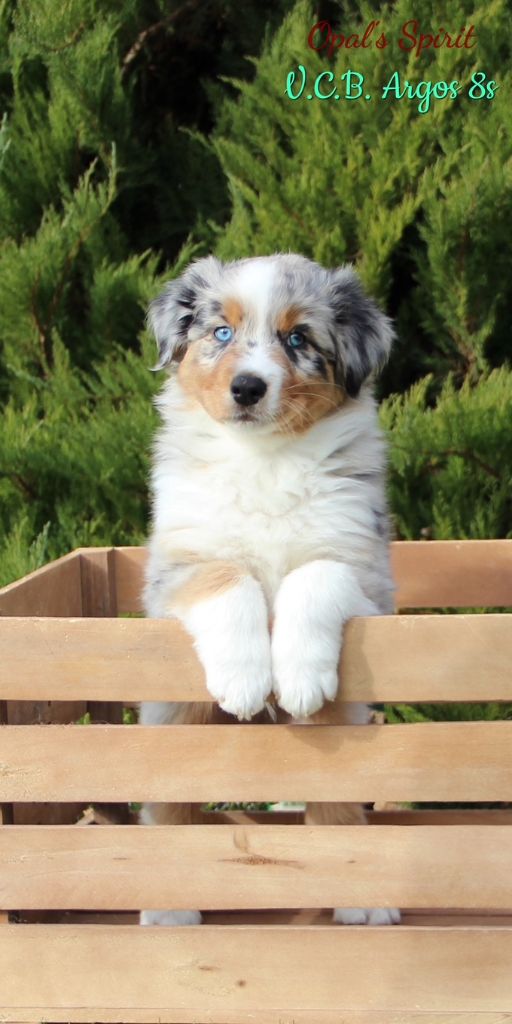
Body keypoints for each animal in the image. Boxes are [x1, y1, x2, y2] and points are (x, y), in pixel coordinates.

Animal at [139, 252, 400, 927]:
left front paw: (298, 674)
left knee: (335, 806)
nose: (248, 388)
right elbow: (228, 577)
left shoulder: (365, 569)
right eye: (221, 332)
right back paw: (168, 909)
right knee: (167, 808)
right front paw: (245, 677)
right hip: (171, 717)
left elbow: (314, 574)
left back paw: (362, 900)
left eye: (298, 339)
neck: (266, 460)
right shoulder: (175, 568)